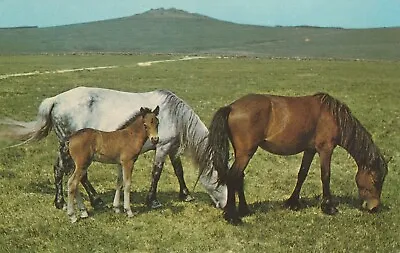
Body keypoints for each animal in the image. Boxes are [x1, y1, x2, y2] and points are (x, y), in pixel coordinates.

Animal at [0, 87, 227, 210]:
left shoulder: (170, 148)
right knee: (70, 172)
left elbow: (179, 171)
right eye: (222, 182)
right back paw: (81, 201)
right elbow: (157, 173)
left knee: (69, 172)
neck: (171, 114)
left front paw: (186, 194)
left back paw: (79, 201)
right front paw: (153, 201)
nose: (226, 207)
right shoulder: (162, 148)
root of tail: (55, 100)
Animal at [203, 92, 388, 223]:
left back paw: (244, 210)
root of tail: (231, 107)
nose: (374, 207)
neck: (333, 116)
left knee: (239, 177)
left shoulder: (310, 150)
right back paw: (232, 216)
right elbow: (326, 176)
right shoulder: (325, 149)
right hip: (246, 153)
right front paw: (329, 207)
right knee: (233, 177)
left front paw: (292, 203)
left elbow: (302, 174)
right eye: (376, 180)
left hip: (243, 153)